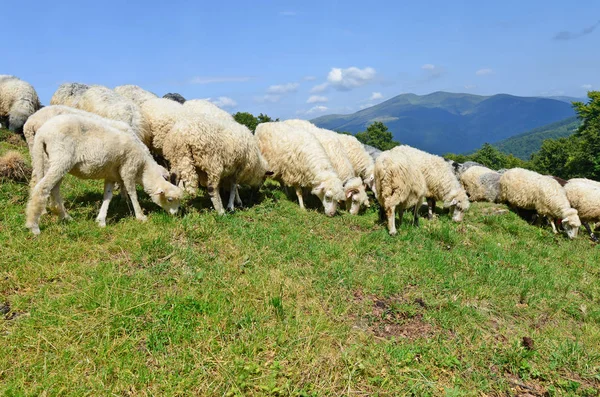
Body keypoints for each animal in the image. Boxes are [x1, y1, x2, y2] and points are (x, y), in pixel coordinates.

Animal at [25, 113, 184, 234]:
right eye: (170, 199)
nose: (176, 214)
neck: (143, 168)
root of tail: (42, 132)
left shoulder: (111, 175)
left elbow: (107, 196)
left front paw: (101, 220)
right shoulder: (128, 168)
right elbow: (132, 193)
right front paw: (140, 216)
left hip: (55, 162)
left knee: (54, 190)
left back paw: (65, 217)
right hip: (60, 159)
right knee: (42, 188)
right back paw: (34, 227)